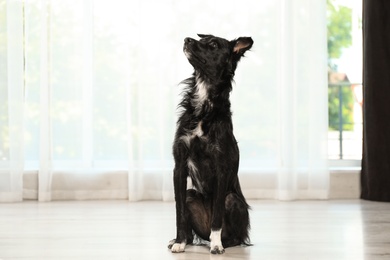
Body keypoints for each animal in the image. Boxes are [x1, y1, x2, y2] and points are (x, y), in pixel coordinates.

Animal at [168, 34, 253, 254]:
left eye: (213, 44)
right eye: (203, 37)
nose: (187, 39)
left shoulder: (221, 167)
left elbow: (217, 217)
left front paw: (216, 245)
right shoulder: (179, 165)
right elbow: (179, 212)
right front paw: (179, 241)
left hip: (233, 200)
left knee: (236, 236)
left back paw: (221, 242)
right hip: (190, 195)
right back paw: (184, 240)